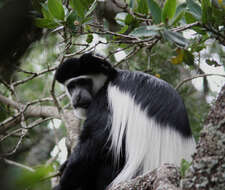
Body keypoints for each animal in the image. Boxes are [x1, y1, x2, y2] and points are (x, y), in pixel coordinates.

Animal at [54, 53, 195, 190]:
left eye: (84, 82)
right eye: (72, 86)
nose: (77, 97)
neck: (109, 80)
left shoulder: (104, 100)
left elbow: (94, 141)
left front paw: (62, 185)